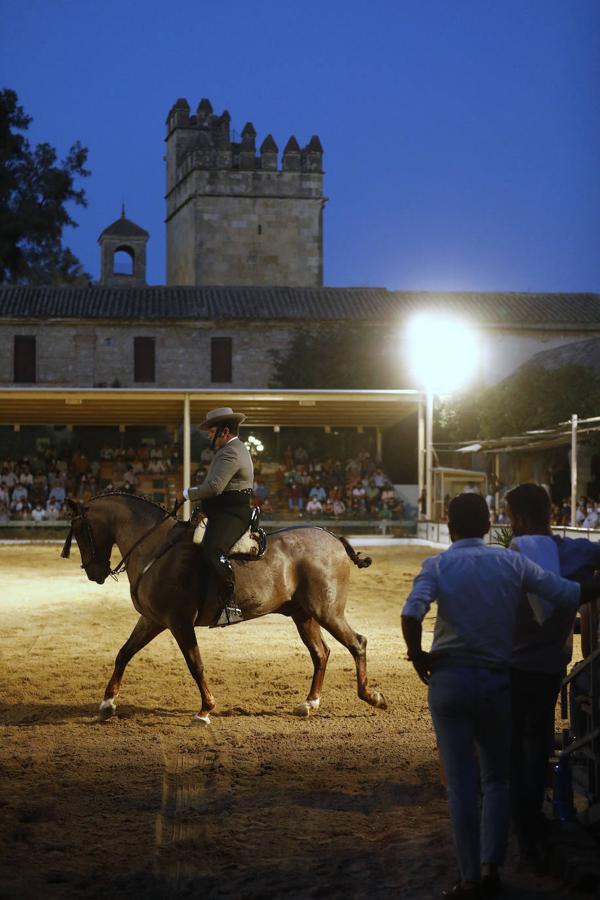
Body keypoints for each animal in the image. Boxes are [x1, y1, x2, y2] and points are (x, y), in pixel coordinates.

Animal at [62, 492, 390, 724]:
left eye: (78, 529)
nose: (94, 573)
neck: (155, 549)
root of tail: (332, 537)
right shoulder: (152, 620)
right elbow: (124, 653)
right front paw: (107, 704)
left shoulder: (179, 622)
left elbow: (195, 664)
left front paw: (205, 710)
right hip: (303, 615)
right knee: (321, 653)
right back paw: (310, 703)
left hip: (327, 612)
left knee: (357, 643)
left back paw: (372, 696)